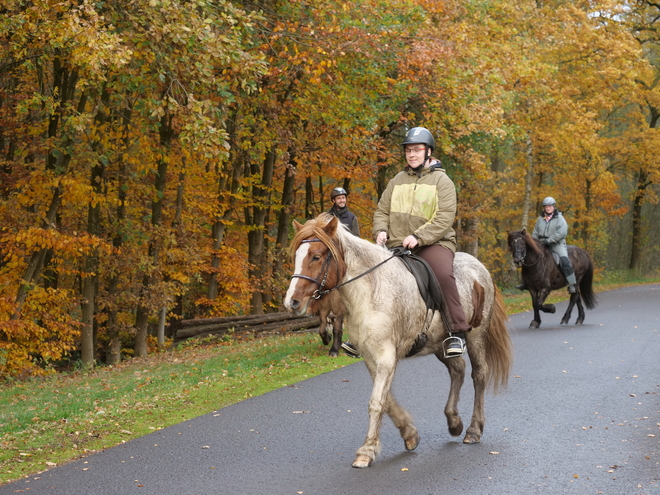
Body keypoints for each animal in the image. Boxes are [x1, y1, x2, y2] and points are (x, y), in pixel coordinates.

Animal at [282, 213, 512, 468]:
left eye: (316, 256)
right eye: (297, 256)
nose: (292, 302)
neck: (372, 291)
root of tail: (479, 267)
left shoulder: (386, 355)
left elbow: (376, 402)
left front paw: (367, 451)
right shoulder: (371, 357)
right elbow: (386, 400)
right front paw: (409, 435)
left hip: (475, 336)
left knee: (479, 374)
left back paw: (473, 430)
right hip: (438, 343)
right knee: (457, 369)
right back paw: (454, 422)